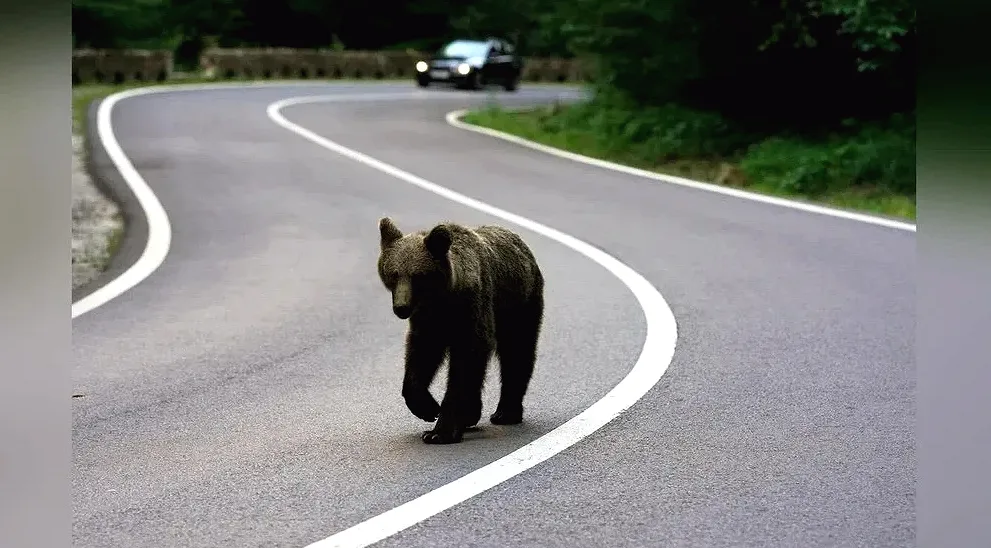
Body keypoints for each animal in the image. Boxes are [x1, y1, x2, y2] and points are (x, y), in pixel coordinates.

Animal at [376, 216, 545, 444]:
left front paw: (440, 431)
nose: (401, 307)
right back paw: (473, 414)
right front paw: (428, 408)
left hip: (519, 304)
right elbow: (421, 355)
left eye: (417, 275)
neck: (444, 297)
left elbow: (466, 361)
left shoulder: (471, 309)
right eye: (394, 274)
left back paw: (505, 413)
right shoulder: (428, 320)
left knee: (517, 352)